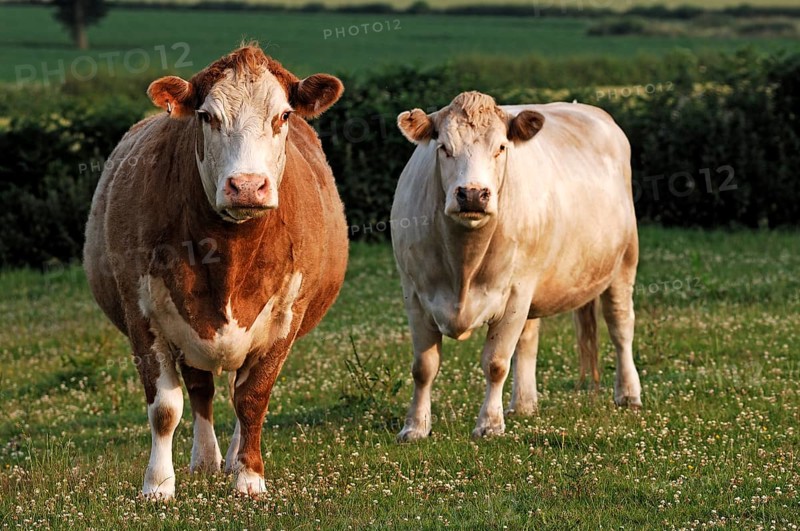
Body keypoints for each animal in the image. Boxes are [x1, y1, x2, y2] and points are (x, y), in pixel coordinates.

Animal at [83, 44, 348, 498]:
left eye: (284, 115)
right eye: (207, 116)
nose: (247, 186)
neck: (229, 255)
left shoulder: (286, 317)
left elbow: (253, 398)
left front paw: (250, 477)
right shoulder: (143, 315)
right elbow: (165, 407)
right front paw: (158, 485)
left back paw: (236, 457)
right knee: (201, 390)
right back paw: (206, 460)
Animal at [391, 91, 642, 441]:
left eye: (500, 147)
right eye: (443, 147)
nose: (472, 194)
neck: (463, 264)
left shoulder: (513, 295)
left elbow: (495, 362)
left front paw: (489, 423)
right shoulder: (414, 294)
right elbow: (423, 367)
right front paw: (415, 426)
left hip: (623, 262)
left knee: (621, 326)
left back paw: (628, 393)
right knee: (528, 340)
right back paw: (523, 403)